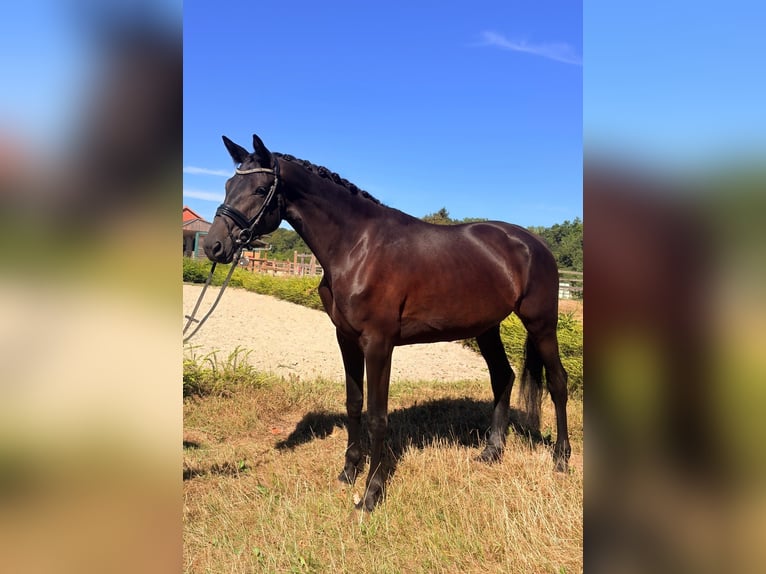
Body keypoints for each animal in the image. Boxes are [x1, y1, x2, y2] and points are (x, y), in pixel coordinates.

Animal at [204, 134, 571, 510]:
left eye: (261, 189)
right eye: (228, 184)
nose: (213, 245)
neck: (358, 246)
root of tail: (534, 243)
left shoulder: (378, 344)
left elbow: (378, 417)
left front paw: (371, 493)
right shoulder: (346, 339)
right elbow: (354, 405)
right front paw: (348, 472)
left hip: (541, 324)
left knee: (558, 382)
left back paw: (560, 459)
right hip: (487, 329)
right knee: (503, 377)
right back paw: (492, 452)